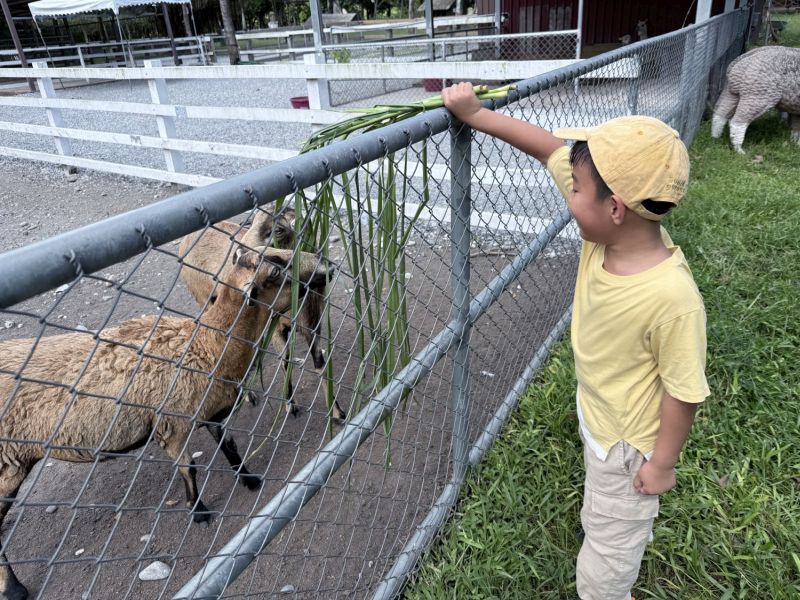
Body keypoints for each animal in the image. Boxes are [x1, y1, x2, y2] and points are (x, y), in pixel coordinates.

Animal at [0, 245, 332, 600]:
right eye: (276, 273)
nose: (325, 268)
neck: (209, 346)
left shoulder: (208, 411)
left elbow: (229, 445)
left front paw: (249, 478)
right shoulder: (172, 423)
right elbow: (188, 467)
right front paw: (198, 511)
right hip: (9, 462)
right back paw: (15, 588)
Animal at [180, 206, 346, 422]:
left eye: (278, 230)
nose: (237, 257)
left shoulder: (313, 325)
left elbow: (320, 364)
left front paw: (337, 412)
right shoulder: (276, 328)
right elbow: (285, 361)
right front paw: (290, 405)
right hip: (206, 301)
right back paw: (248, 395)